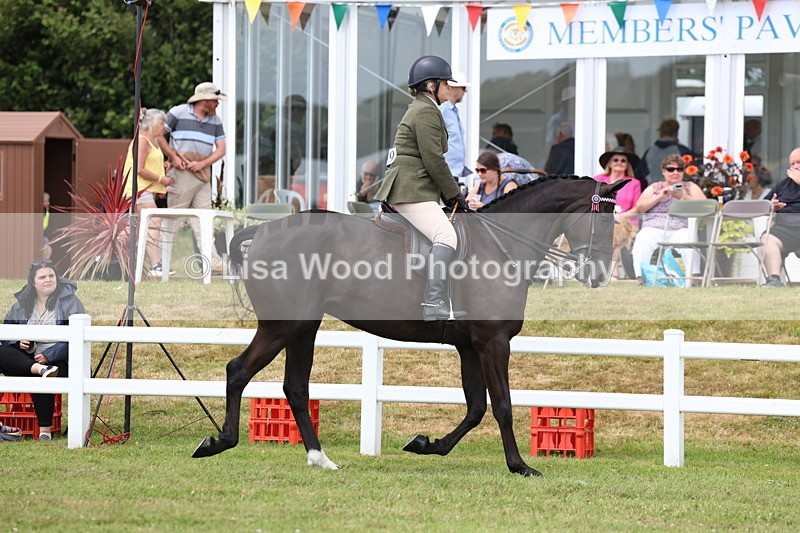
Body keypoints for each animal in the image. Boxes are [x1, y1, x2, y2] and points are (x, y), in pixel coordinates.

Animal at [193, 175, 627, 477]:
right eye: (606, 221)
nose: (599, 275)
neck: (501, 246)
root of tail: (264, 229)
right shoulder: (494, 342)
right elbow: (502, 405)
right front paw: (520, 465)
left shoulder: (470, 346)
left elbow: (475, 408)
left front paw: (426, 444)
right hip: (283, 325)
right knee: (239, 370)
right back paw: (219, 442)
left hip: (304, 328)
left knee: (295, 387)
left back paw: (320, 459)